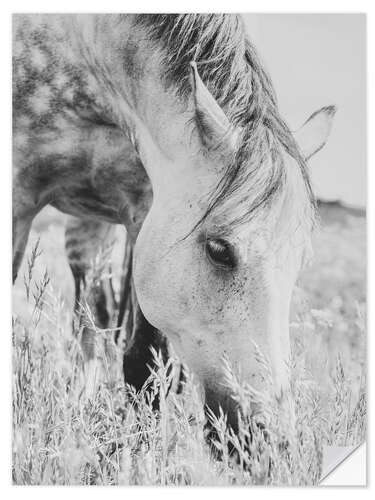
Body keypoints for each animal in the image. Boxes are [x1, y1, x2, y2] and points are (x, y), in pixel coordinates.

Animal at [11, 14, 336, 434]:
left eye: (301, 261)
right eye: (219, 250)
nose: (269, 435)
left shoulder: (145, 209)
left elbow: (144, 362)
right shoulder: (18, 198)